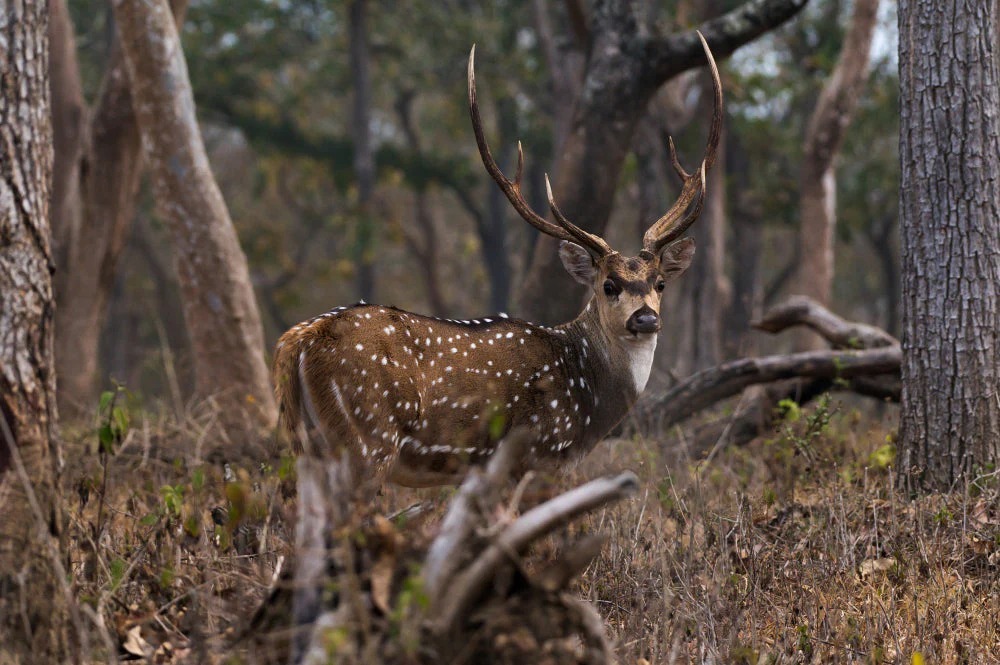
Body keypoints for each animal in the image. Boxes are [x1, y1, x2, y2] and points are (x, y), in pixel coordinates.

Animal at [273, 33, 722, 489]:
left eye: (660, 282)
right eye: (608, 284)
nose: (646, 318)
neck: (588, 401)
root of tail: (298, 340)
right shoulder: (539, 454)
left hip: (309, 444)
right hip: (367, 438)